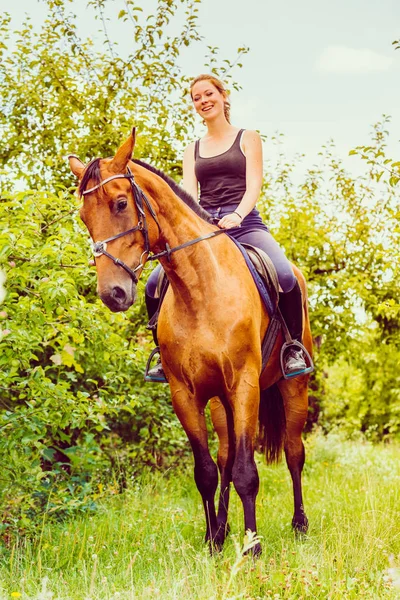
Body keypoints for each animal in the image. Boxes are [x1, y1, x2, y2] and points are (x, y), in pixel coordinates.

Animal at [69, 129, 312, 556]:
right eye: (84, 217)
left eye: (120, 203)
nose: (113, 294)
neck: (199, 287)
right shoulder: (185, 393)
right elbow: (207, 471)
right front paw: (214, 539)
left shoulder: (244, 385)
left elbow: (247, 472)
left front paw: (252, 547)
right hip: (220, 403)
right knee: (226, 456)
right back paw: (225, 527)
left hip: (292, 387)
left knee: (293, 452)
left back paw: (299, 525)